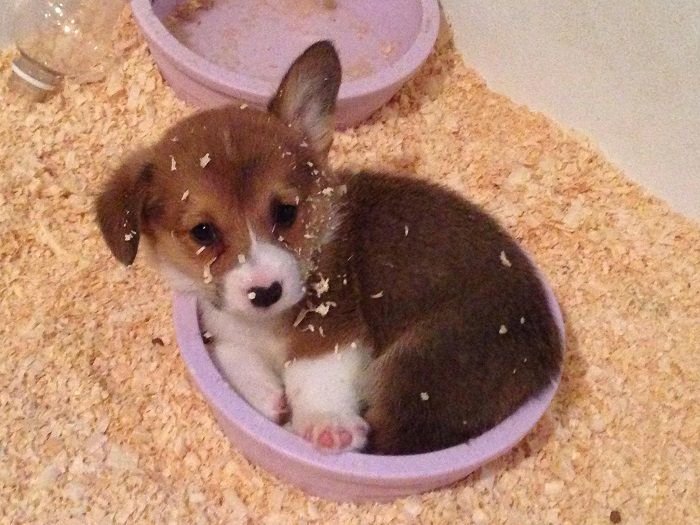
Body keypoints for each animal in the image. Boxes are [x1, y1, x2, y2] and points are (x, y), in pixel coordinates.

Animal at [97, 41, 564, 454]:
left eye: (286, 212)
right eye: (203, 233)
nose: (265, 292)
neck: (265, 324)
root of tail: (547, 357)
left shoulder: (333, 330)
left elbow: (316, 374)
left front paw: (326, 424)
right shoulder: (223, 327)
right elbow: (230, 352)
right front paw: (265, 395)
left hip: (421, 364)